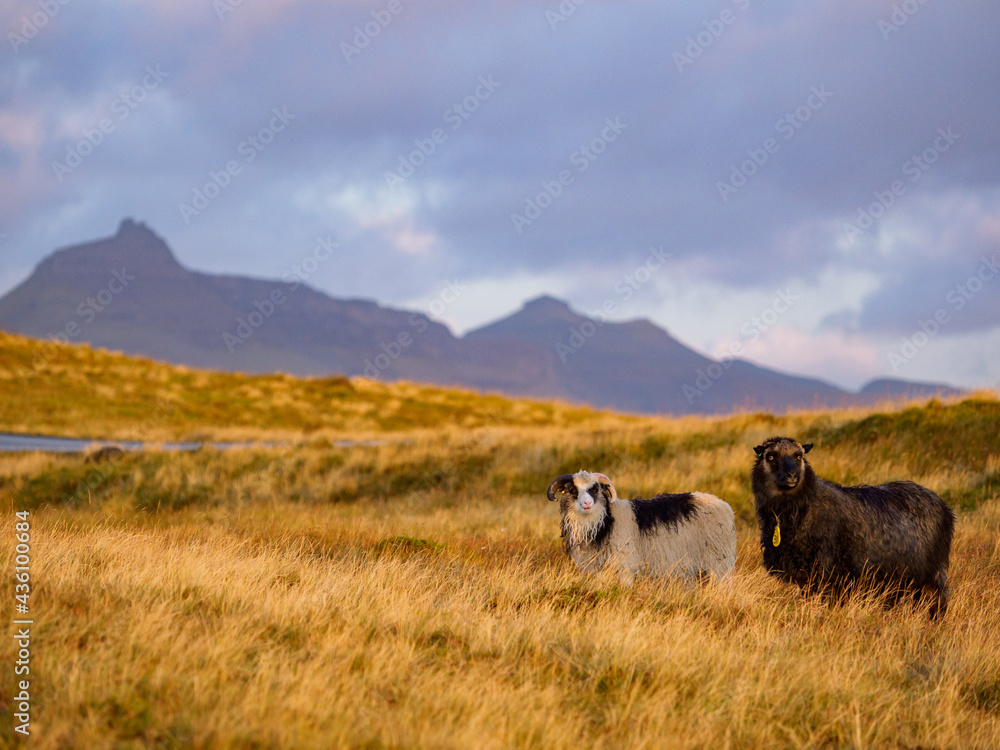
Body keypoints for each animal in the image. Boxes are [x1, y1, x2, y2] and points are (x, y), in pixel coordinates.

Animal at [548, 470, 736, 588]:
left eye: (595, 489)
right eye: (572, 490)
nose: (587, 503)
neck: (604, 523)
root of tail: (725, 505)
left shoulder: (626, 566)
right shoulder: (597, 569)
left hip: (719, 561)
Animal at [752, 438, 952, 620]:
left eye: (798, 456)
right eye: (770, 456)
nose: (792, 475)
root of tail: (942, 504)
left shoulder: (829, 572)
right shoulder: (808, 576)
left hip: (932, 572)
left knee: (937, 599)